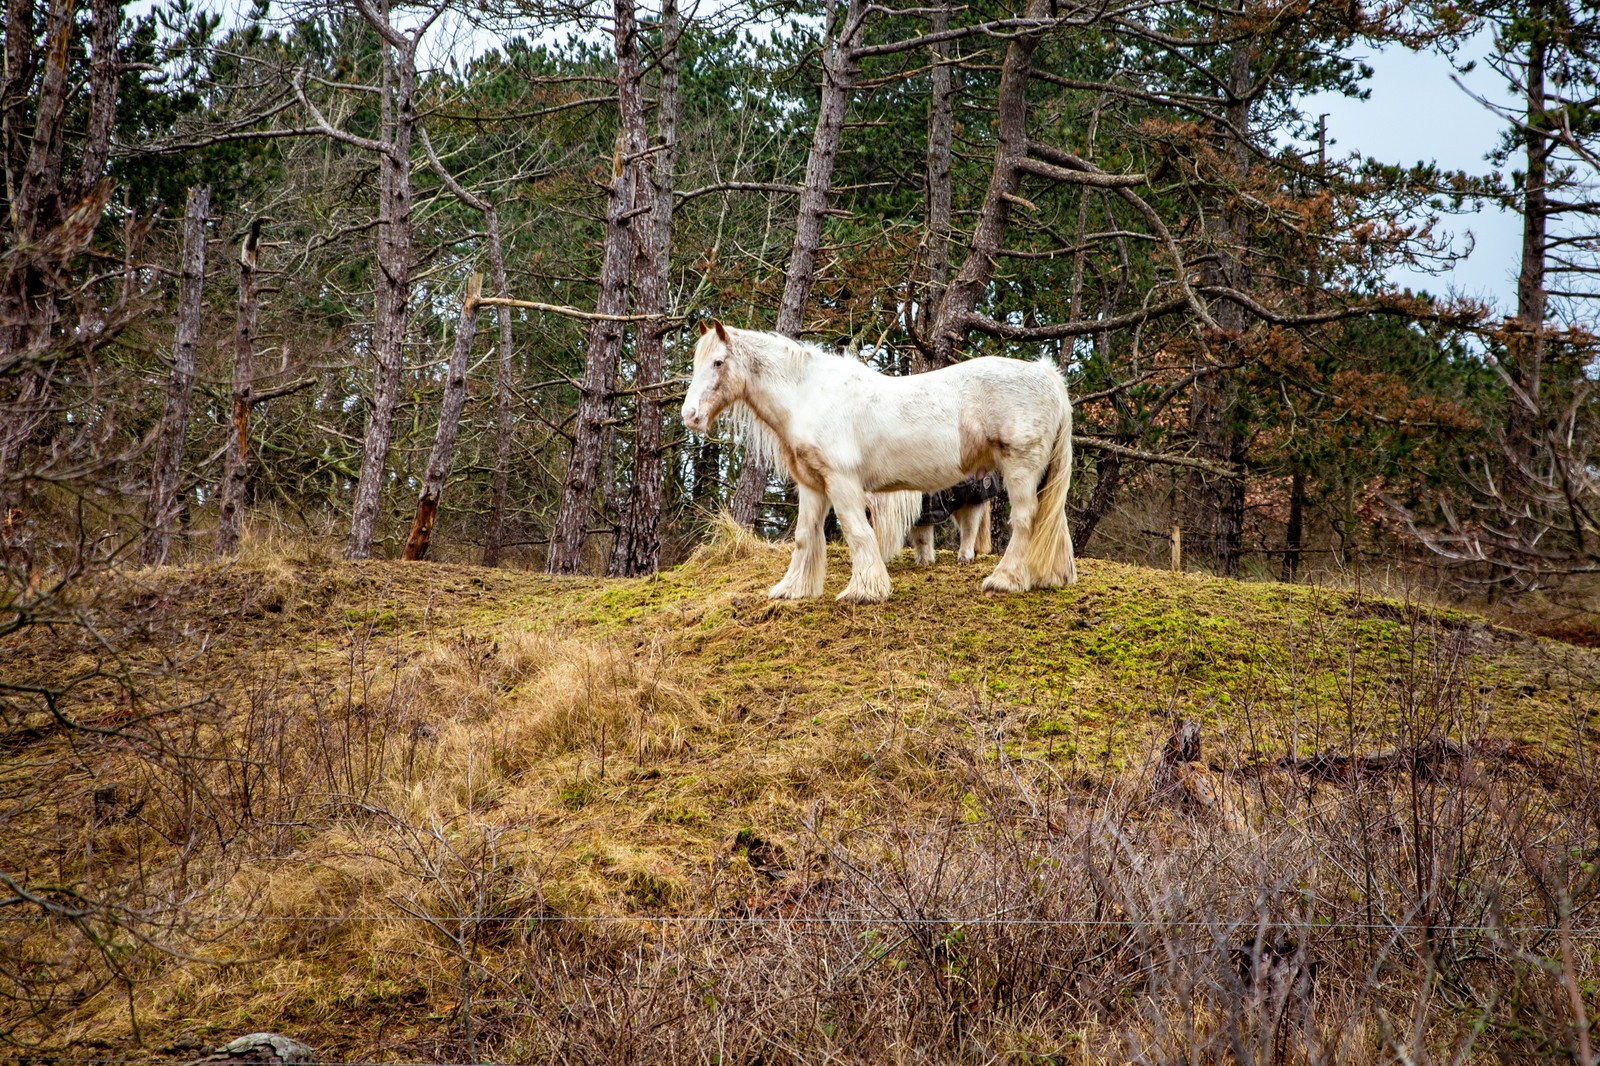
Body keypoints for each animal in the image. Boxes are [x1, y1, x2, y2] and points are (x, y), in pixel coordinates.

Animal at [678, 320, 1075, 601]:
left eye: (718, 362)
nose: (690, 415)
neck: (810, 394)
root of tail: (1046, 374)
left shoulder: (842, 482)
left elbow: (857, 532)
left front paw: (865, 590)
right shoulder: (812, 485)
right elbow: (805, 537)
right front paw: (792, 590)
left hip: (1020, 469)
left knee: (1025, 521)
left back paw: (1004, 580)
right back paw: (1048, 577)